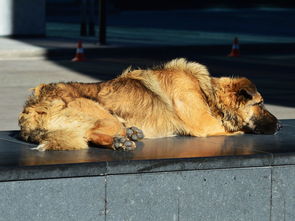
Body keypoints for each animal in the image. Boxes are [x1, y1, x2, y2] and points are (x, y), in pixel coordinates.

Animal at [19, 57, 282, 151]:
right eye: (261, 103)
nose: (281, 127)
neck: (207, 92)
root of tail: (31, 108)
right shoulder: (206, 126)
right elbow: (237, 130)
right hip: (103, 114)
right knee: (89, 133)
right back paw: (120, 142)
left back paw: (130, 134)